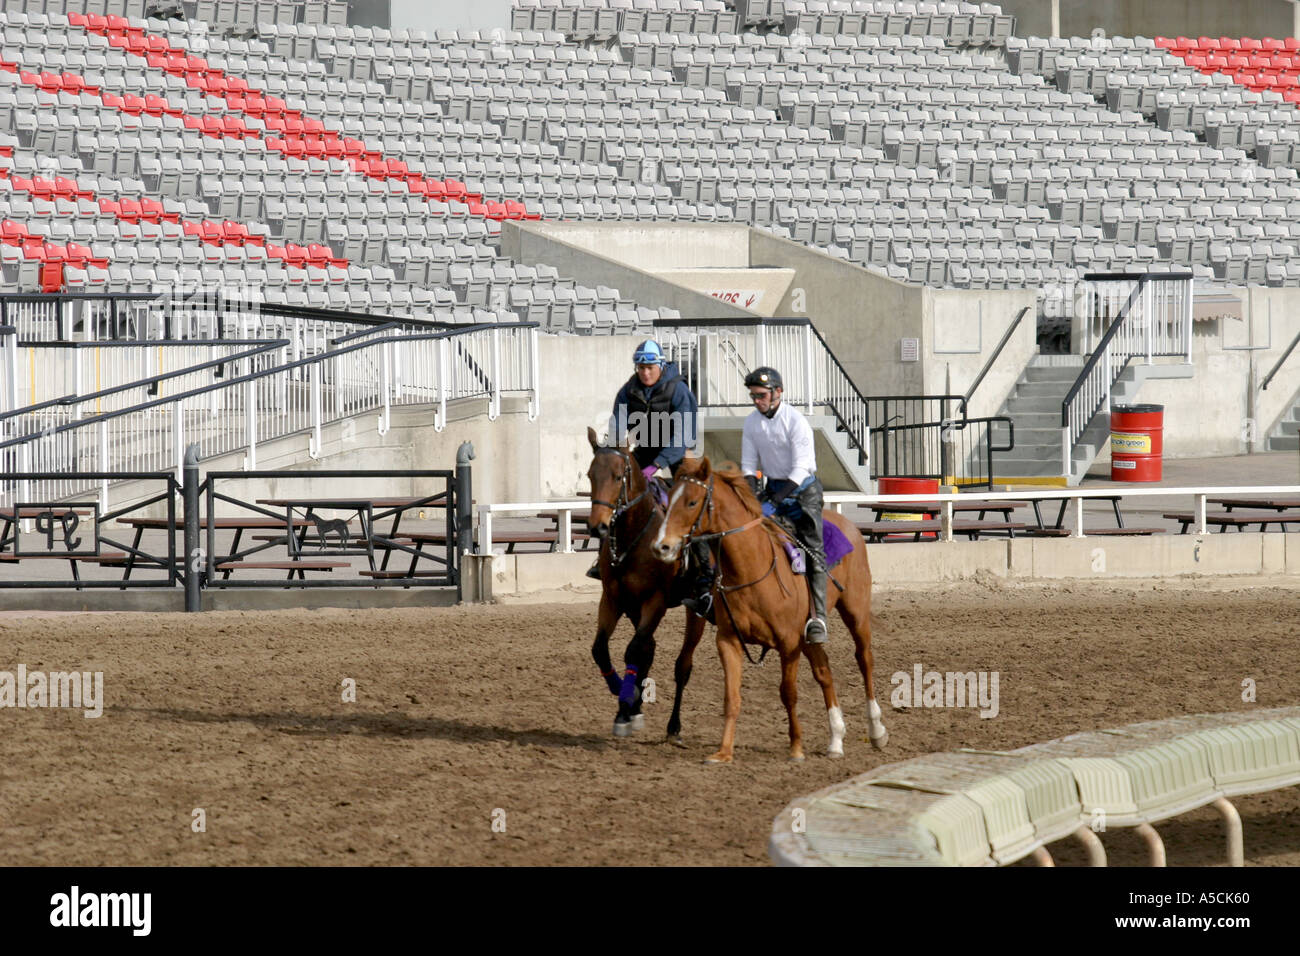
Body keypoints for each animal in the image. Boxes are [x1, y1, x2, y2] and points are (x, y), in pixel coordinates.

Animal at [587, 429, 712, 743]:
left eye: (617, 476)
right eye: (590, 475)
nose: (597, 527)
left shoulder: (655, 602)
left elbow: (634, 651)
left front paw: (625, 704)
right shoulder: (613, 598)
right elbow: (601, 650)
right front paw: (625, 701)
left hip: (695, 610)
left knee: (682, 665)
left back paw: (674, 726)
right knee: (648, 649)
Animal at [647, 460, 889, 764]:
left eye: (692, 502)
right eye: (669, 501)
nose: (662, 546)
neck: (752, 568)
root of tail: (851, 528)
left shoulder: (789, 644)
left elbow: (788, 693)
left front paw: (796, 748)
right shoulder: (728, 640)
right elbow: (731, 696)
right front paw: (723, 752)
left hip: (855, 613)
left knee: (864, 660)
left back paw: (876, 730)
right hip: (809, 635)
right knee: (824, 670)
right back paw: (835, 739)